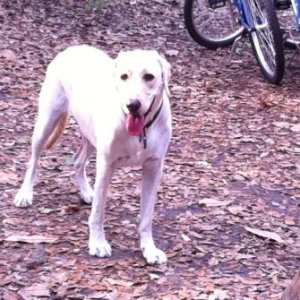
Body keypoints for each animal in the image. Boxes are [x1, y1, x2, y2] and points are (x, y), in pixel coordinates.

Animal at [14, 44, 172, 262]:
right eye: (124, 76)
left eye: (149, 76)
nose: (132, 105)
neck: (141, 131)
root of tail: (72, 47)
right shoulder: (105, 166)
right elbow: (98, 212)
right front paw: (97, 243)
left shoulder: (154, 169)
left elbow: (147, 217)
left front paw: (149, 248)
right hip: (46, 122)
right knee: (34, 160)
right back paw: (25, 193)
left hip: (89, 135)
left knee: (78, 162)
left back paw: (86, 191)